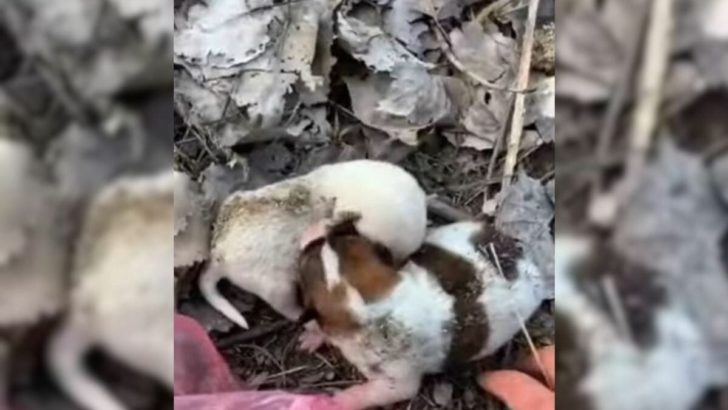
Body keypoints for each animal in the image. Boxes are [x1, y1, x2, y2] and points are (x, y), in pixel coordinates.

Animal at [298, 221, 548, 410]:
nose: (315, 239)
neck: (372, 306)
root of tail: (526, 263)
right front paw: (314, 336)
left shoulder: (396, 381)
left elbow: (373, 392)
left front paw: (336, 401)